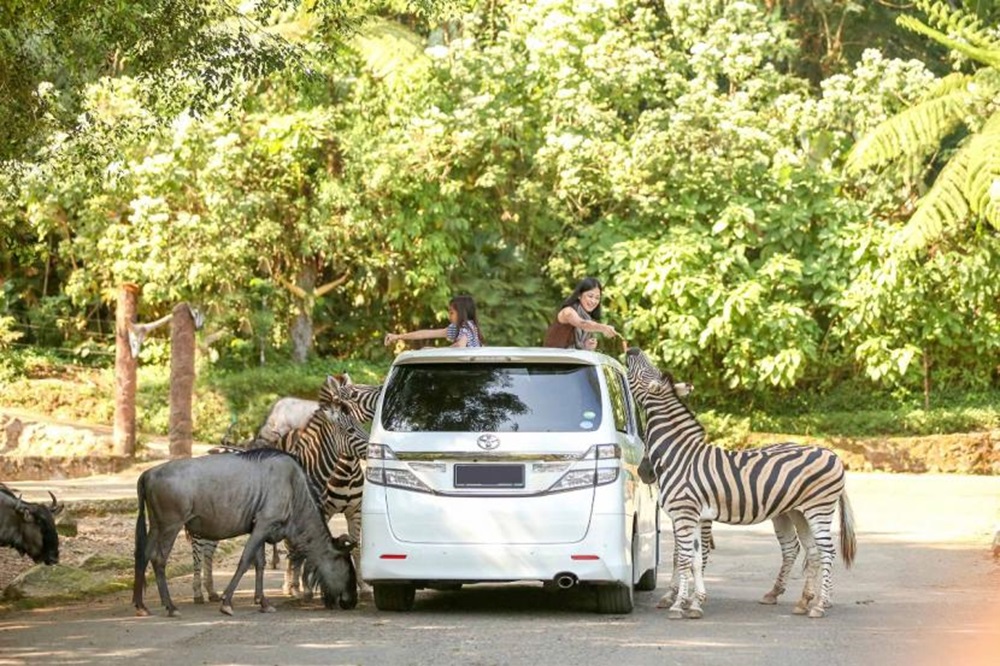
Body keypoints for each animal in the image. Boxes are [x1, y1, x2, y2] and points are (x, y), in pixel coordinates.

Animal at [624, 348, 852, 616]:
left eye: (647, 372)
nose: (632, 349)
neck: (677, 454)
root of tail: (834, 455)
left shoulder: (684, 514)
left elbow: (684, 558)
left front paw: (679, 604)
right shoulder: (696, 516)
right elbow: (693, 560)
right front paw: (694, 603)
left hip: (819, 508)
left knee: (827, 552)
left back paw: (819, 605)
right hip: (798, 512)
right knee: (812, 551)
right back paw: (803, 601)